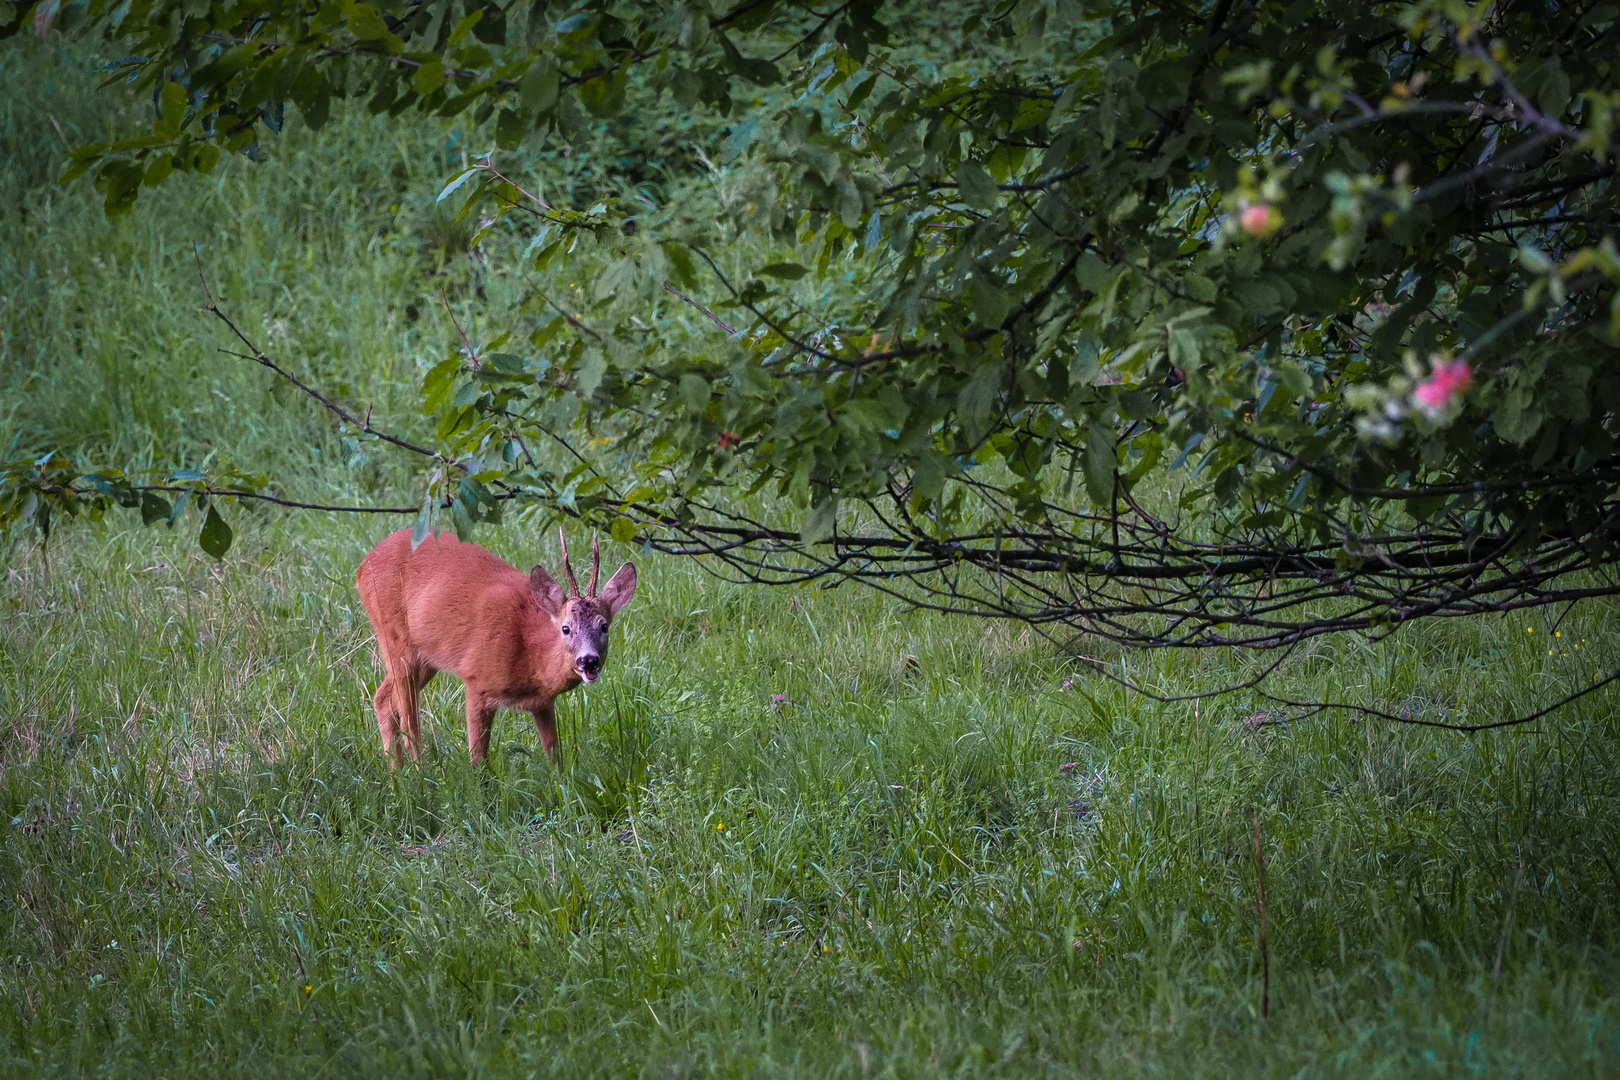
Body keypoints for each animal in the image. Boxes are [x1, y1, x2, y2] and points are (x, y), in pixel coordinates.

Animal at [358, 527, 635, 764]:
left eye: (604, 626)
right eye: (566, 628)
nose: (589, 660)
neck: (530, 654)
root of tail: (362, 567)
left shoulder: (543, 704)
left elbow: (555, 758)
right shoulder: (477, 680)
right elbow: (478, 759)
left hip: (425, 656)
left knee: (383, 699)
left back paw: (396, 774)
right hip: (394, 636)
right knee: (409, 722)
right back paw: (420, 777)